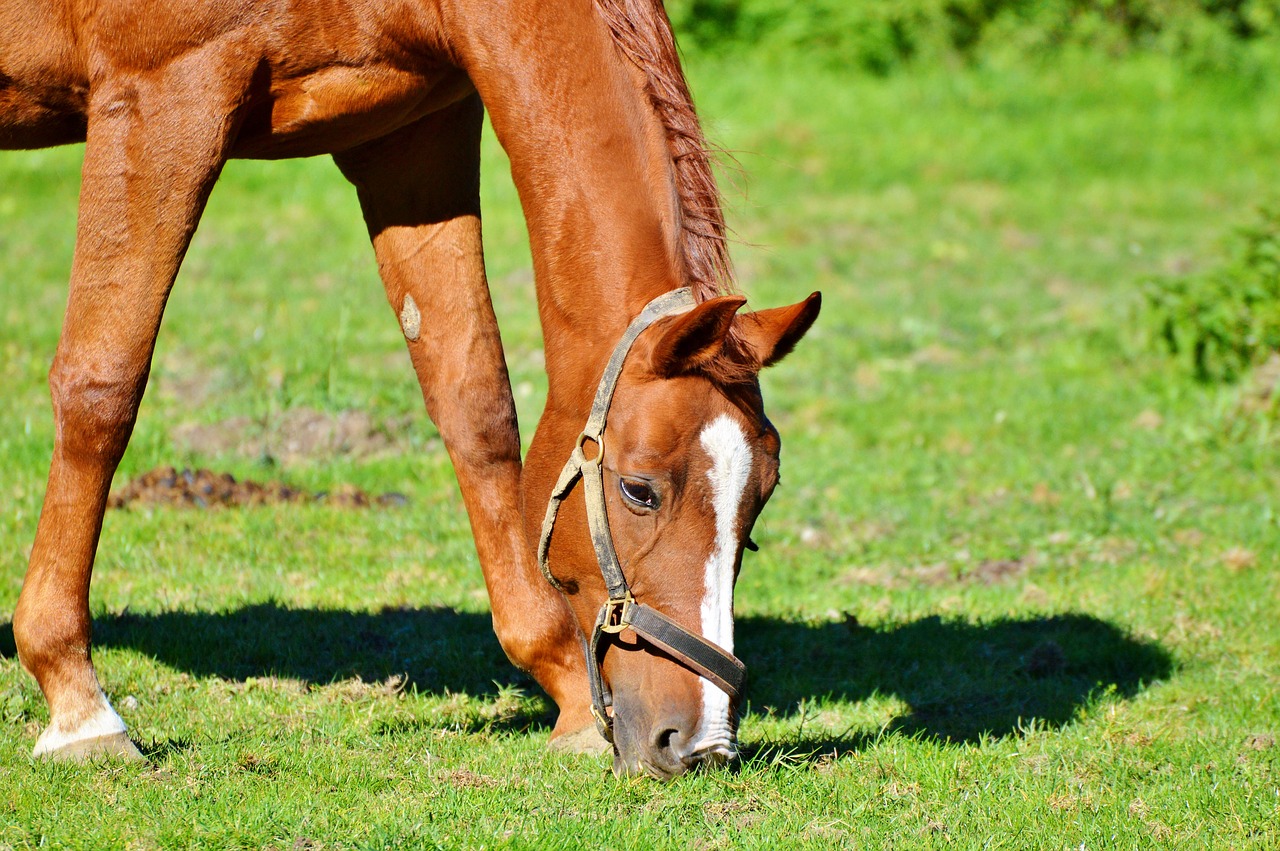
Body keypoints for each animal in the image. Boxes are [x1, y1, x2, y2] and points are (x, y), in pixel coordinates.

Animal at [2, 0, 819, 778]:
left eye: (758, 504)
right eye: (640, 490)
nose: (702, 744)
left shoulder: (411, 136)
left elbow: (474, 401)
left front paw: (566, 693)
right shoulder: (158, 98)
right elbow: (103, 386)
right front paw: (78, 703)